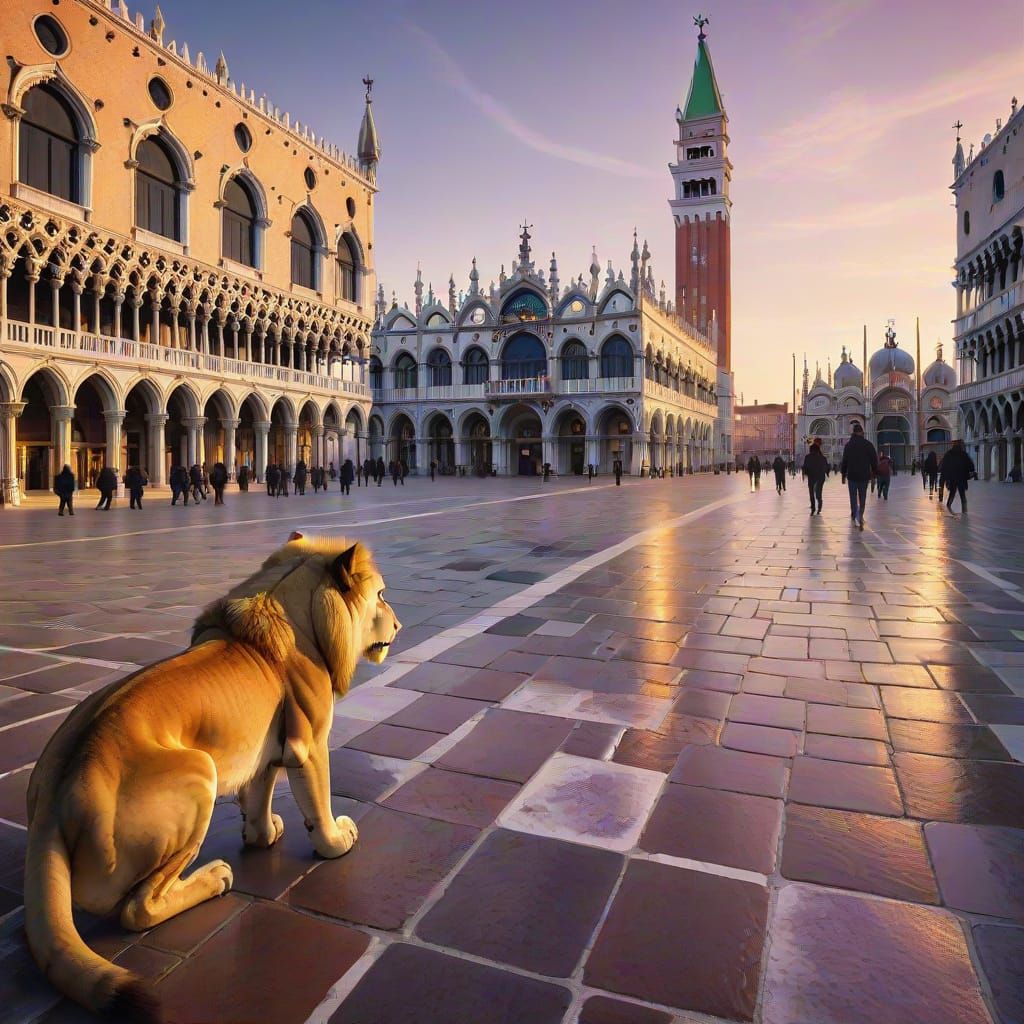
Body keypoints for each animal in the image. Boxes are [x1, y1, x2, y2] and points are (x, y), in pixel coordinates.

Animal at [23, 532, 400, 1023]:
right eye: (381, 595)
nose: (399, 625)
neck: (291, 607)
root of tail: (52, 806)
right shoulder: (309, 743)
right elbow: (318, 803)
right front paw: (336, 842)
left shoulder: (267, 748)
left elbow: (258, 798)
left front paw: (264, 835)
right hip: (199, 773)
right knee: (138, 908)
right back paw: (214, 878)